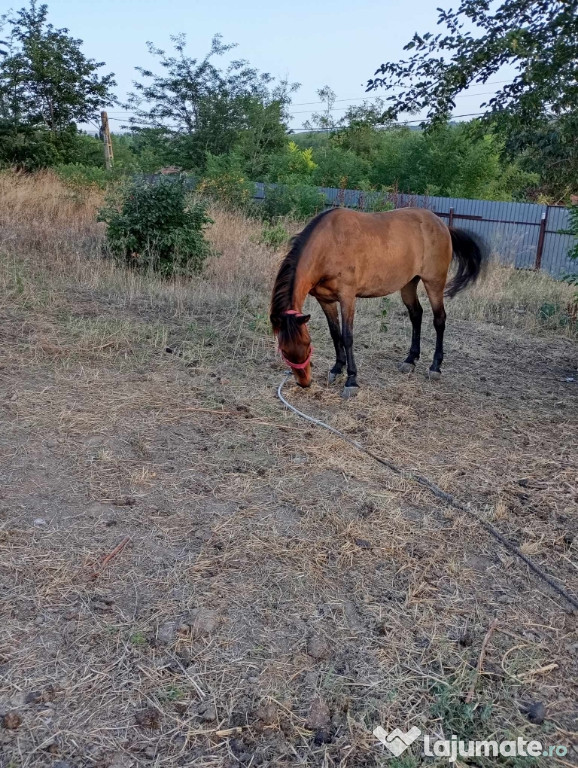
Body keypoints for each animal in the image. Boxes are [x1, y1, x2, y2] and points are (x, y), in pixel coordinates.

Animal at [268, 206, 482, 396]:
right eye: (284, 350)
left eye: (307, 344)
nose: (304, 382)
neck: (329, 245)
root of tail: (442, 225)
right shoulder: (325, 300)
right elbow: (335, 334)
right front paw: (337, 369)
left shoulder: (347, 297)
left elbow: (347, 336)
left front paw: (351, 380)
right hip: (409, 283)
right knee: (416, 315)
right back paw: (410, 360)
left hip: (434, 283)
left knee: (439, 320)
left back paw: (435, 367)